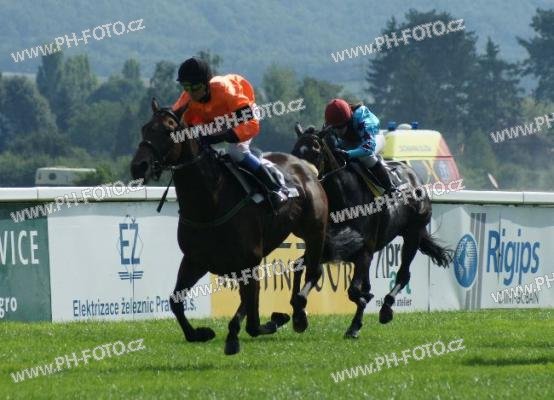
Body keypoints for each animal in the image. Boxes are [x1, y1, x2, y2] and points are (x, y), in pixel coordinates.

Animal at [130, 99, 328, 355]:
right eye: (145, 128)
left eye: (168, 130)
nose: (139, 166)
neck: (210, 202)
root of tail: (305, 167)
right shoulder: (195, 260)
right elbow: (176, 301)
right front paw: (199, 333)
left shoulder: (248, 261)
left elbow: (251, 316)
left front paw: (244, 332)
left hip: (314, 230)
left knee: (314, 270)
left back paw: (299, 314)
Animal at [292, 124, 452, 338]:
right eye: (295, 151)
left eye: (315, 150)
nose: (299, 180)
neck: (343, 199)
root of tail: (413, 176)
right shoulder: (329, 248)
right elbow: (302, 268)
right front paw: (299, 316)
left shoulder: (364, 251)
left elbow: (354, 291)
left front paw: (361, 310)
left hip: (413, 234)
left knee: (403, 274)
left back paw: (385, 310)